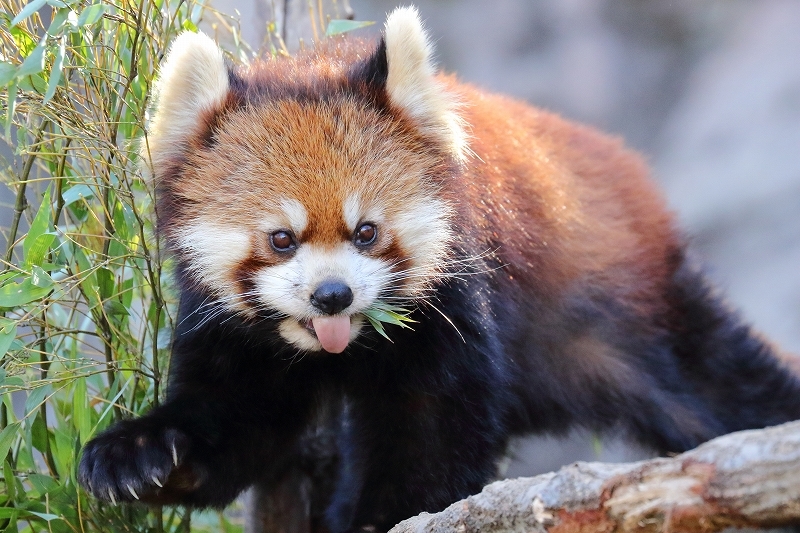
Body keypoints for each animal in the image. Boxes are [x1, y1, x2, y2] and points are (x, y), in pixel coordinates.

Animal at [78, 6, 800, 528]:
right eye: (281, 239)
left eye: (366, 231)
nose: (333, 295)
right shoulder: (230, 332)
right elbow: (237, 423)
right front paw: (140, 456)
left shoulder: (454, 302)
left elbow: (431, 429)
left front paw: (373, 517)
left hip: (625, 309)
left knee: (718, 385)